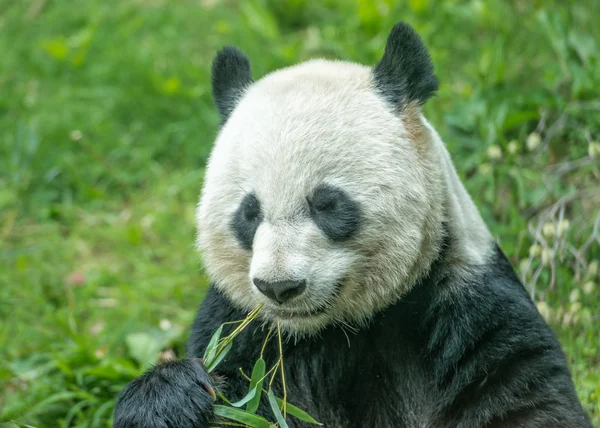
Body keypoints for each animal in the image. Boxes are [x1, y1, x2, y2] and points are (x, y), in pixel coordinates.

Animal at [115, 22, 592, 428]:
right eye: (249, 213)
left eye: (327, 205)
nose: (279, 287)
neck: (338, 329)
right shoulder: (245, 335)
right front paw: (169, 396)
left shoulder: (468, 309)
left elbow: (524, 401)